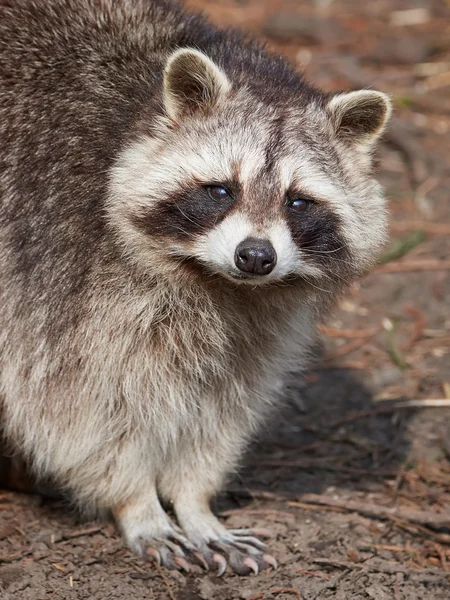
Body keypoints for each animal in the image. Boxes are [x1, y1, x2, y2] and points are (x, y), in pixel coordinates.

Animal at [0, 0, 390, 576]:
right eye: (221, 190)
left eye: (298, 201)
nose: (256, 257)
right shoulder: (55, 265)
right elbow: (70, 407)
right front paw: (137, 501)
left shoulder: (257, 321)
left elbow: (224, 402)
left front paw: (194, 500)